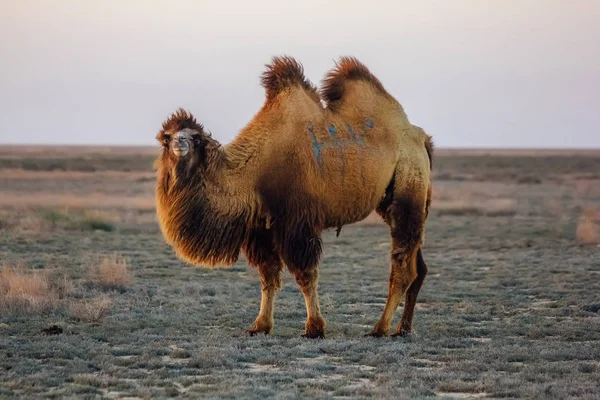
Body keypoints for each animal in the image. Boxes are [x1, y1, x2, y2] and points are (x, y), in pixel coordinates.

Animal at [155, 55, 434, 338]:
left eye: (196, 138)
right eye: (166, 138)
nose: (179, 143)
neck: (255, 172)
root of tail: (421, 138)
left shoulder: (298, 220)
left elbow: (305, 274)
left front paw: (314, 328)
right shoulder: (262, 226)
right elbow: (268, 275)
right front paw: (260, 325)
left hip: (409, 185)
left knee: (403, 264)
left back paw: (381, 328)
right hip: (396, 200)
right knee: (418, 266)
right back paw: (403, 328)